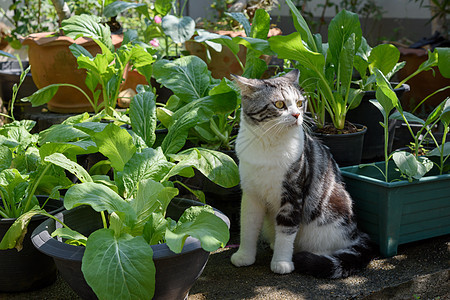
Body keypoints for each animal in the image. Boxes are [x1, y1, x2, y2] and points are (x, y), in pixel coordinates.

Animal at [230, 69, 374, 278]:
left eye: (299, 103)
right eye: (279, 104)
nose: (297, 114)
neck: (268, 143)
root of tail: (357, 234)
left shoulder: (293, 193)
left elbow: (286, 229)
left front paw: (282, 263)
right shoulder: (251, 194)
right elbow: (248, 226)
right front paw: (244, 256)